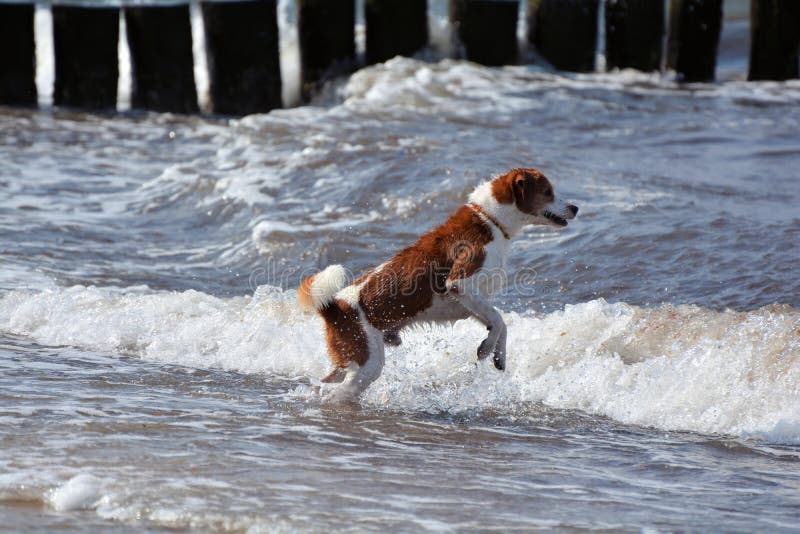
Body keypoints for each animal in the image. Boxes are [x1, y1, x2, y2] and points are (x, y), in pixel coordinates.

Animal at [296, 169, 580, 402]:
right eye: (548, 192)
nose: (576, 207)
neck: (490, 219)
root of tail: (334, 307)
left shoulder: (469, 304)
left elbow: (500, 324)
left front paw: (499, 355)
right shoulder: (460, 284)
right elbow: (499, 320)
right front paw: (487, 348)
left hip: (347, 360)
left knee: (323, 383)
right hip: (368, 364)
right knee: (338, 394)